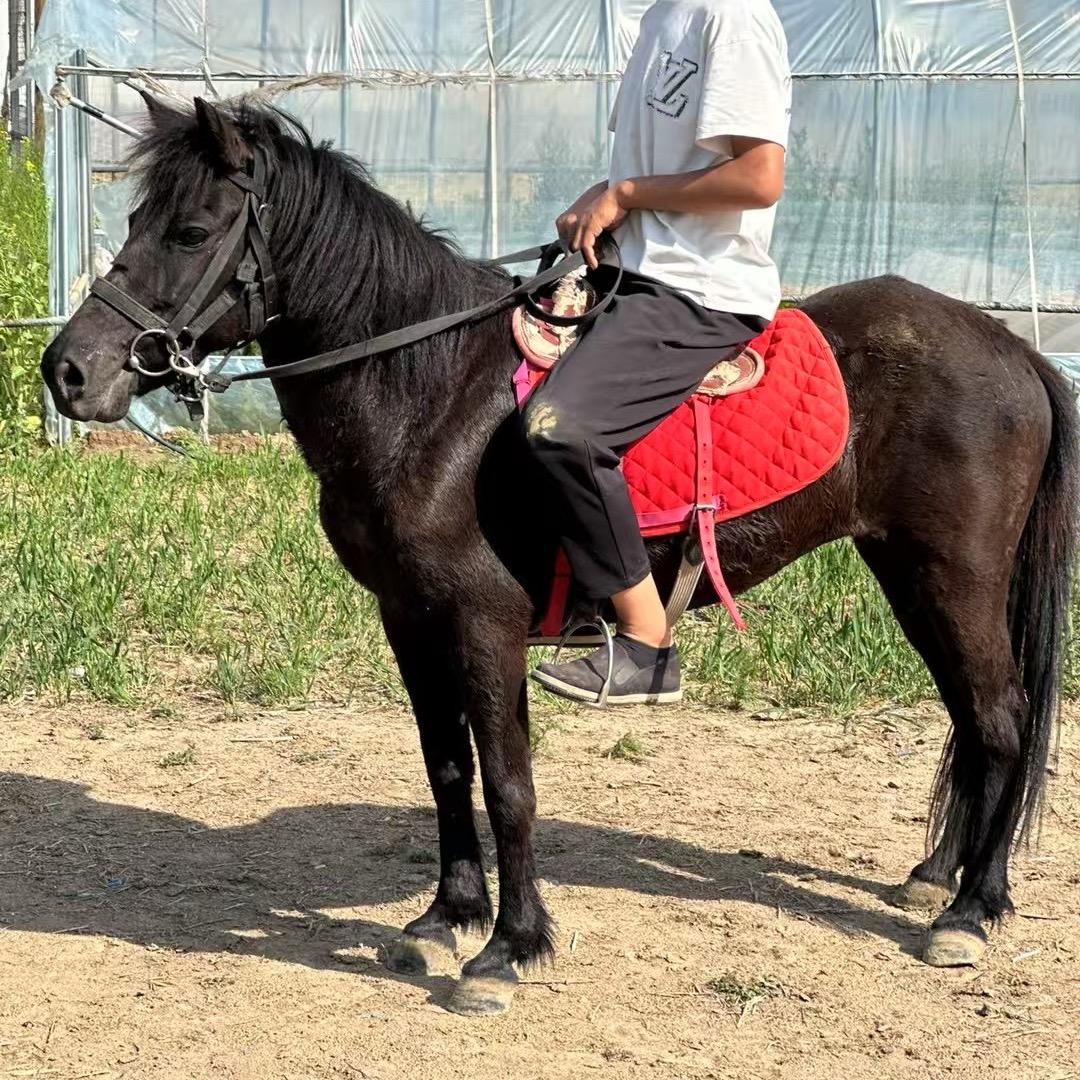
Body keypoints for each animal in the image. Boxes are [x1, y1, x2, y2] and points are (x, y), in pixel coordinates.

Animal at [41, 98, 1077, 1016]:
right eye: (134, 219)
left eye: (191, 231)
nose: (68, 372)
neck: (432, 395)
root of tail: (1010, 345)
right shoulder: (408, 617)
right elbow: (446, 767)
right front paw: (447, 918)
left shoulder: (486, 627)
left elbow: (509, 783)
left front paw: (509, 947)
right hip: (909, 573)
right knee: (974, 721)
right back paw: (935, 876)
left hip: (955, 576)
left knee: (1001, 718)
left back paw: (973, 909)